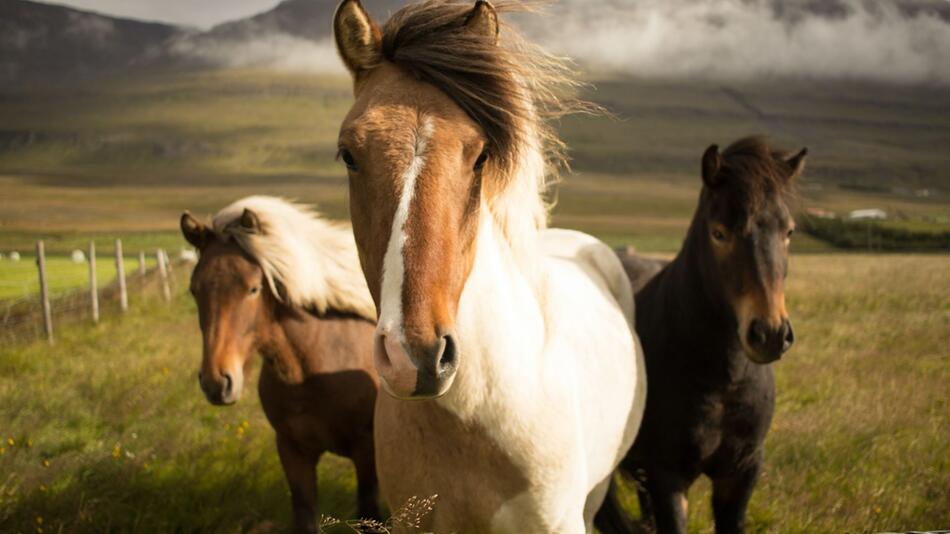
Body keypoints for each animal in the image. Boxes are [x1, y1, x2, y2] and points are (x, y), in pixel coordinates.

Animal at [180, 197, 382, 534]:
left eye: (253, 288)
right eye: (195, 289)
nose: (216, 382)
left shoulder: (366, 452)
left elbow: (371, 513)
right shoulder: (292, 451)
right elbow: (305, 515)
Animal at [600, 139, 808, 534]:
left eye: (788, 232)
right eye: (719, 233)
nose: (770, 334)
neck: (723, 381)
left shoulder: (741, 472)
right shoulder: (667, 476)